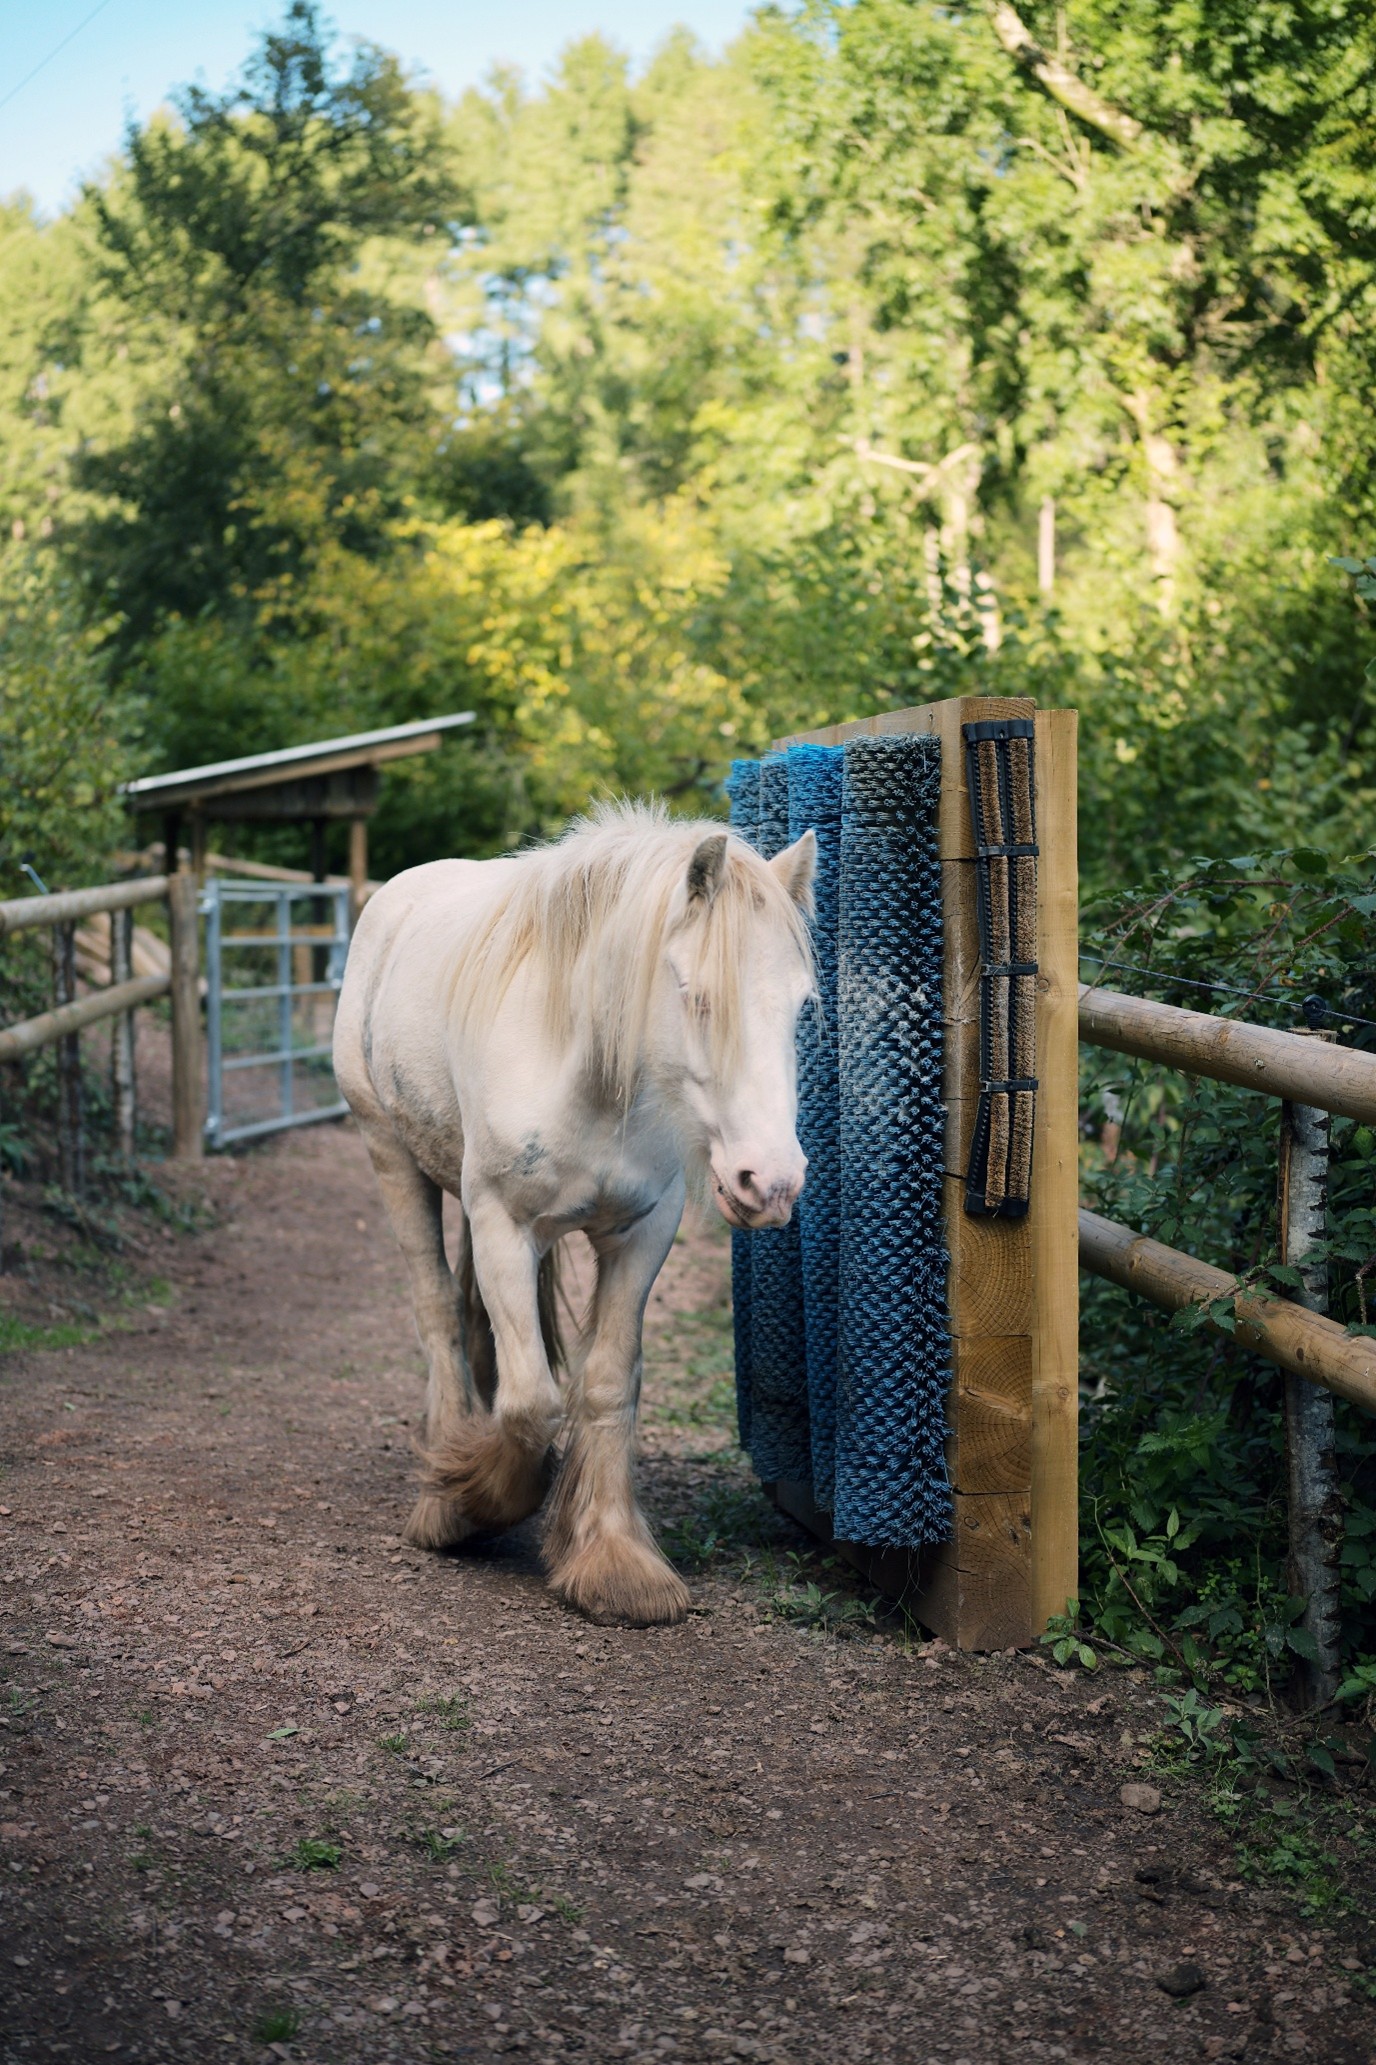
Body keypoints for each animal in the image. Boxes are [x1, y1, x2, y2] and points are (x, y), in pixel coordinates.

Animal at [333, 802, 817, 1627]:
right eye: (696, 996)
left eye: (801, 1008)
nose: (772, 1182)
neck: (582, 1066)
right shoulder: (502, 1225)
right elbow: (532, 1400)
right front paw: (474, 1497)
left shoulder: (640, 1235)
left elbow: (603, 1383)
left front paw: (616, 1561)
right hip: (391, 1158)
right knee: (439, 1314)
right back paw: (446, 1477)